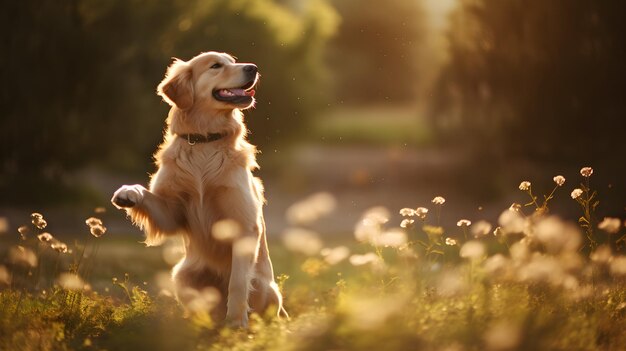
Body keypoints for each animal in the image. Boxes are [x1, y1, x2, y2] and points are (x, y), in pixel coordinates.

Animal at [111, 51, 286, 328]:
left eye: (233, 61)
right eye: (216, 66)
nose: (253, 67)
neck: (205, 142)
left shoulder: (244, 224)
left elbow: (238, 283)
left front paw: (236, 323)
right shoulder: (171, 212)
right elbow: (147, 194)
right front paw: (128, 192)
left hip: (266, 288)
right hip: (181, 274)